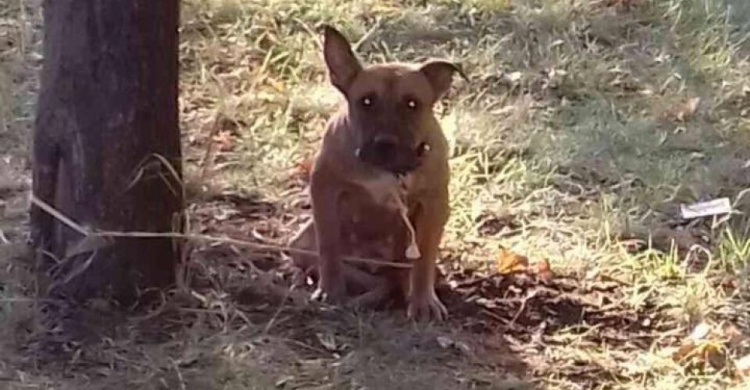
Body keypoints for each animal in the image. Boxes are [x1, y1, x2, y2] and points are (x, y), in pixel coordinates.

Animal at [288, 24, 464, 322]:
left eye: (412, 104)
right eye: (366, 101)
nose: (385, 143)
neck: (387, 171)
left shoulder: (434, 205)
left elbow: (424, 260)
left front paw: (423, 302)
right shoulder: (324, 190)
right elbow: (329, 248)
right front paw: (330, 291)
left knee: (401, 274)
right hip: (300, 242)